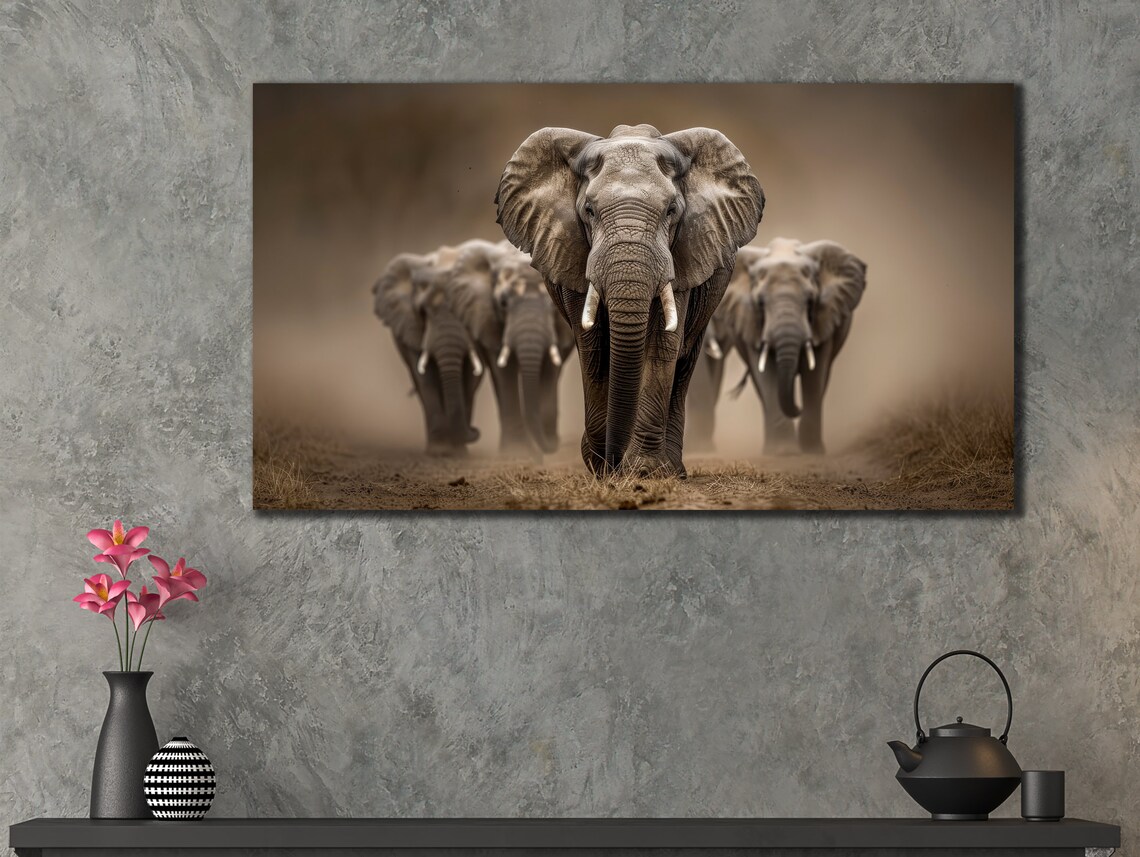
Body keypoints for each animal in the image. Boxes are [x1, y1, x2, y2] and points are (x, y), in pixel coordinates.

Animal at [372, 243, 486, 456]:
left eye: (465, 310)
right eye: (423, 311)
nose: (475, 430)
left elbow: (471, 377)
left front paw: (459, 452)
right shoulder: (412, 327)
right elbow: (426, 377)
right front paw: (440, 451)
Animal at [446, 240, 575, 455]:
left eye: (553, 306)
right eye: (503, 303)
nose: (475, 430)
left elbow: (549, 369)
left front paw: (545, 443)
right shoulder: (488, 318)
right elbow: (504, 371)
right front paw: (517, 451)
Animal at [496, 124, 765, 477]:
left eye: (671, 211)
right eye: (589, 211)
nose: (612, 461)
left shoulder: (682, 256)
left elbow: (662, 347)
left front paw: (643, 471)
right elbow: (593, 351)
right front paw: (600, 466)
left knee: (684, 362)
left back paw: (672, 469)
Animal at [718, 237, 867, 455]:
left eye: (811, 301)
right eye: (760, 303)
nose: (797, 407)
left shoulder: (824, 318)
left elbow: (814, 374)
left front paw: (812, 452)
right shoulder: (752, 323)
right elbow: (767, 374)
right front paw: (783, 453)